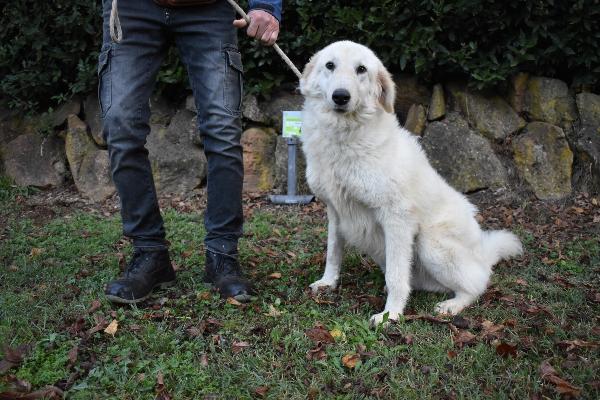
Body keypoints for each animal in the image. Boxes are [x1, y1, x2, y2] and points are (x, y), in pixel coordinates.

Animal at [298, 41, 520, 324]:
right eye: (330, 65)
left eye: (361, 69)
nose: (340, 96)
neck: (344, 137)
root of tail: (483, 251)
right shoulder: (336, 212)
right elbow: (333, 253)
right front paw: (328, 282)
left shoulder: (396, 219)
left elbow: (396, 275)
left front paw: (390, 314)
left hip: (430, 243)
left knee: (477, 284)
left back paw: (452, 305)